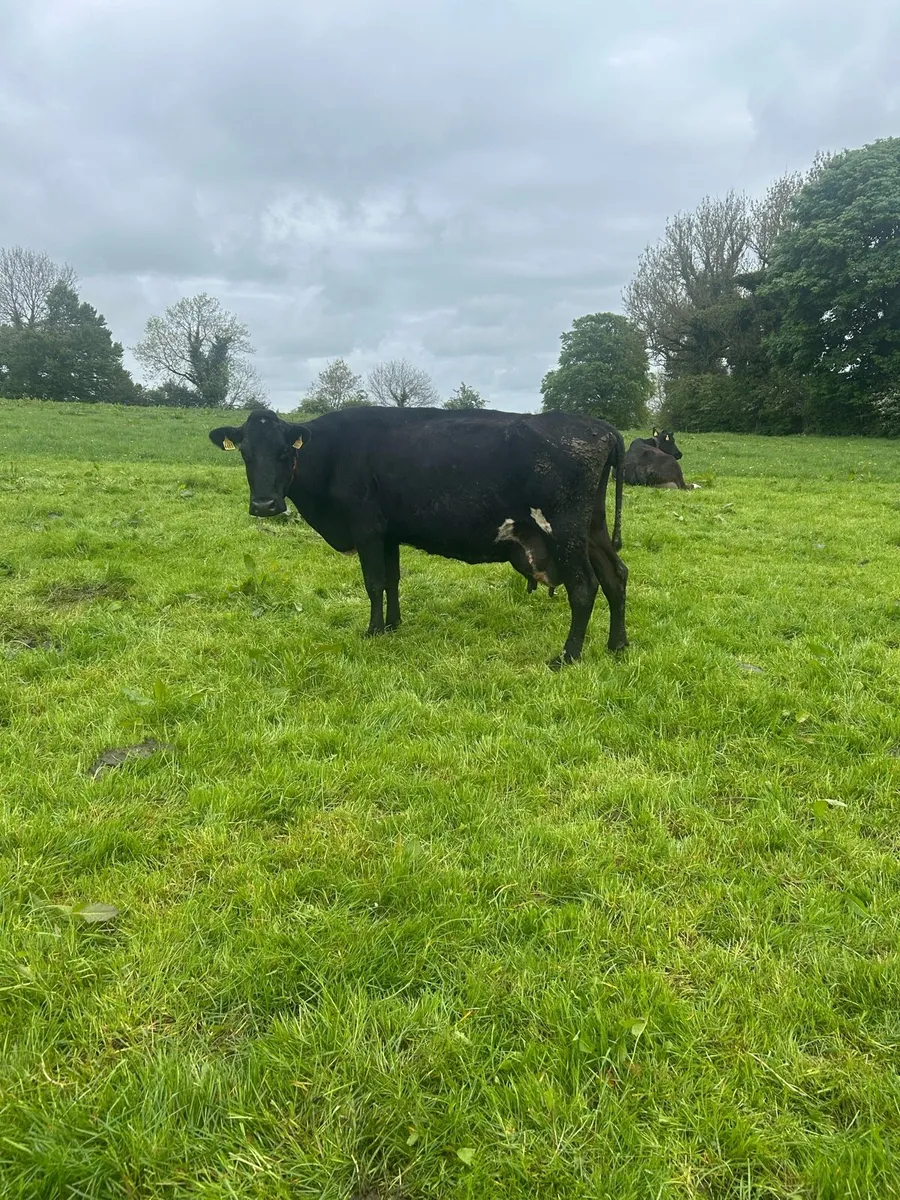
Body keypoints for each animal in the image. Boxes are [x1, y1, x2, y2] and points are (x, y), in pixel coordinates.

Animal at [209, 406, 628, 668]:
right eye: (245, 453)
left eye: (284, 452)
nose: (264, 505)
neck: (332, 453)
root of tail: (601, 427)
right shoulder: (388, 533)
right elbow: (392, 580)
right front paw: (393, 625)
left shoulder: (366, 528)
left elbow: (374, 582)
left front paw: (373, 631)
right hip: (592, 529)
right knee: (616, 576)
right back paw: (617, 644)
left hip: (565, 529)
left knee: (585, 587)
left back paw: (568, 656)